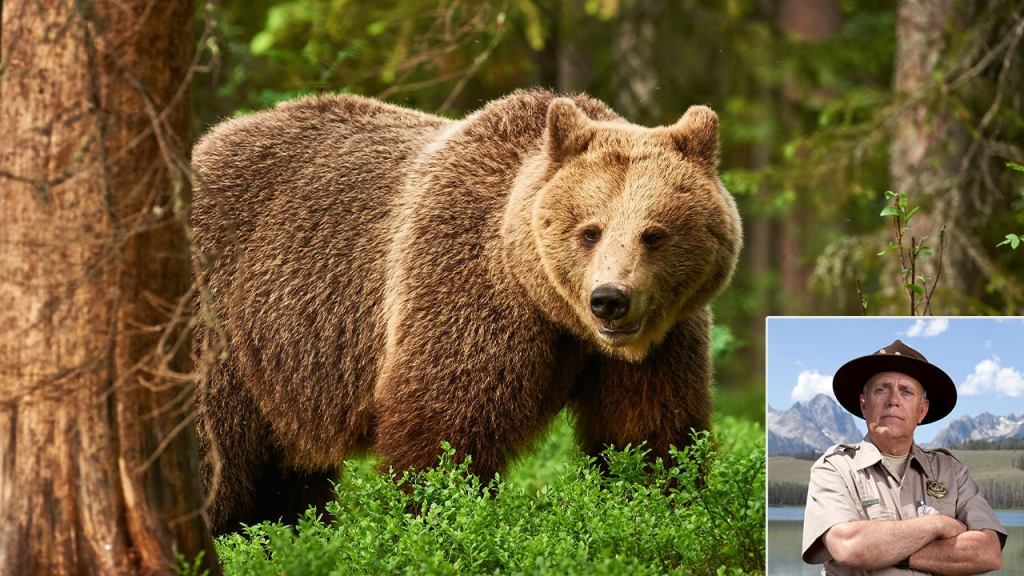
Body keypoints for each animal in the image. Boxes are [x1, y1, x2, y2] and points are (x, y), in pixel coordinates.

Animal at [190, 87, 737, 532]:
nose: (609, 299)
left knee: (289, 478)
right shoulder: (464, 289)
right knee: (216, 457)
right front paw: (436, 517)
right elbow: (445, 434)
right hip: (225, 321)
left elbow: (648, 434)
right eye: (590, 230)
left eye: (654, 234)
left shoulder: (662, 343)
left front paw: (659, 504)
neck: (551, 309)